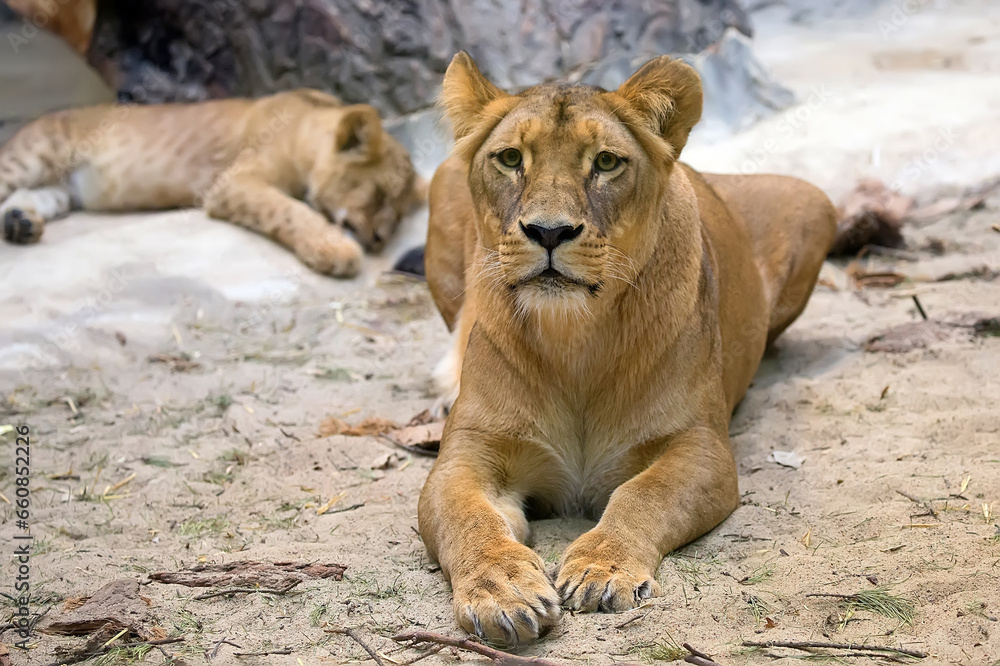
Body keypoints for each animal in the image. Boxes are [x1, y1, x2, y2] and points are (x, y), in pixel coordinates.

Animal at [0, 90, 424, 277]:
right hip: (33, 155)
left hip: (58, 188)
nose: (380, 241)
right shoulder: (235, 181)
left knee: (30, 196)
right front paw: (336, 250)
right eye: (378, 194)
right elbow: (289, 210)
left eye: (401, 214)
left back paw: (20, 224)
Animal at [418, 52, 837, 644]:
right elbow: (467, 518)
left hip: (814, 201)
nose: (549, 232)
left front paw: (603, 568)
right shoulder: (467, 454)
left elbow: (642, 494)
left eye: (607, 162)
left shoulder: (700, 445)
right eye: (510, 159)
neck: (573, 338)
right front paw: (502, 591)